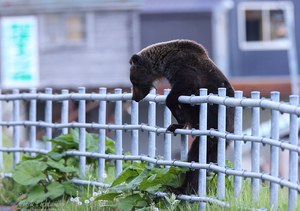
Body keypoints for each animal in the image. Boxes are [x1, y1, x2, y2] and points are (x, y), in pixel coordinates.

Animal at [129, 39, 234, 193]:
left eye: (133, 81)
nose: (134, 97)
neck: (164, 61)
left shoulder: (184, 68)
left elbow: (181, 90)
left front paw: (177, 116)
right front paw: (175, 124)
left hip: (215, 122)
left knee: (197, 154)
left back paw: (183, 187)